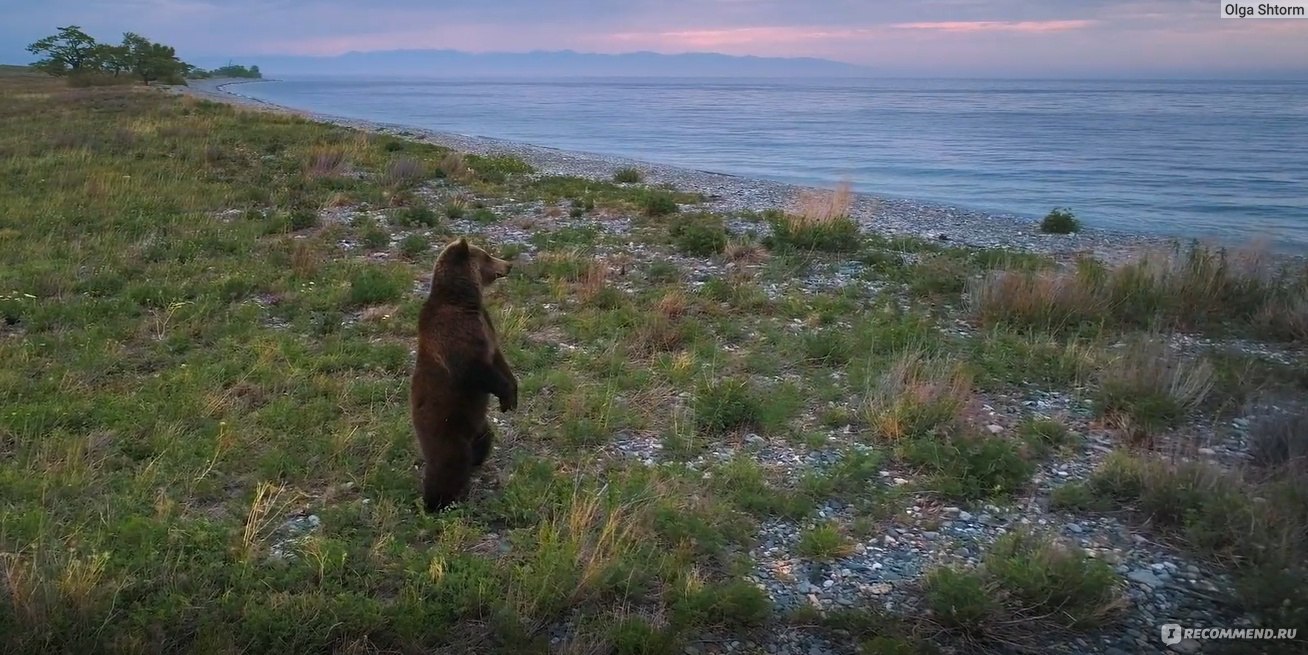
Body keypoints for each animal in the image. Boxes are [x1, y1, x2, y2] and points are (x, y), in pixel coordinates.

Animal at [408, 237, 515, 512]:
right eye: (487, 255)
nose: (508, 264)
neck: (464, 300)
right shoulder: (455, 334)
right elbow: (476, 370)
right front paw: (506, 395)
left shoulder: (486, 327)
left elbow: (499, 359)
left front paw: (512, 395)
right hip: (445, 426)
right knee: (448, 464)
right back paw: (436, 502)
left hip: (476, 424)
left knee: (483, 440)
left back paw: (476, 462)